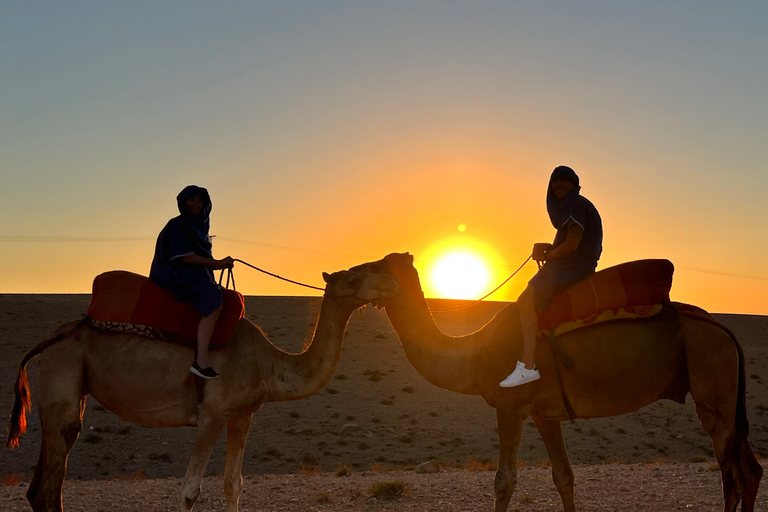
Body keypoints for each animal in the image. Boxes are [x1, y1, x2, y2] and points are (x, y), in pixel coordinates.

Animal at [6, 268, 400, 512]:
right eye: (353, 276)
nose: (390, 283)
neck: (267, 364)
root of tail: (51, 339)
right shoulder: (211, 415)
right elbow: (189, 491)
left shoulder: (242, 415)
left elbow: (233, 484)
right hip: (61, 376)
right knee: (47, 483)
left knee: (45, 485)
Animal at [356, 254, 764, 512]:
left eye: (372, 268)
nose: (343, 274)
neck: (472, 352)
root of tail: (722, 328)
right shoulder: (544, 413)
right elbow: (563, 476)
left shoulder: (510, 406)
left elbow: (504, 481)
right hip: (728, 395)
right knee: (751, 469)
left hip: (712, 378)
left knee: (732, 473)